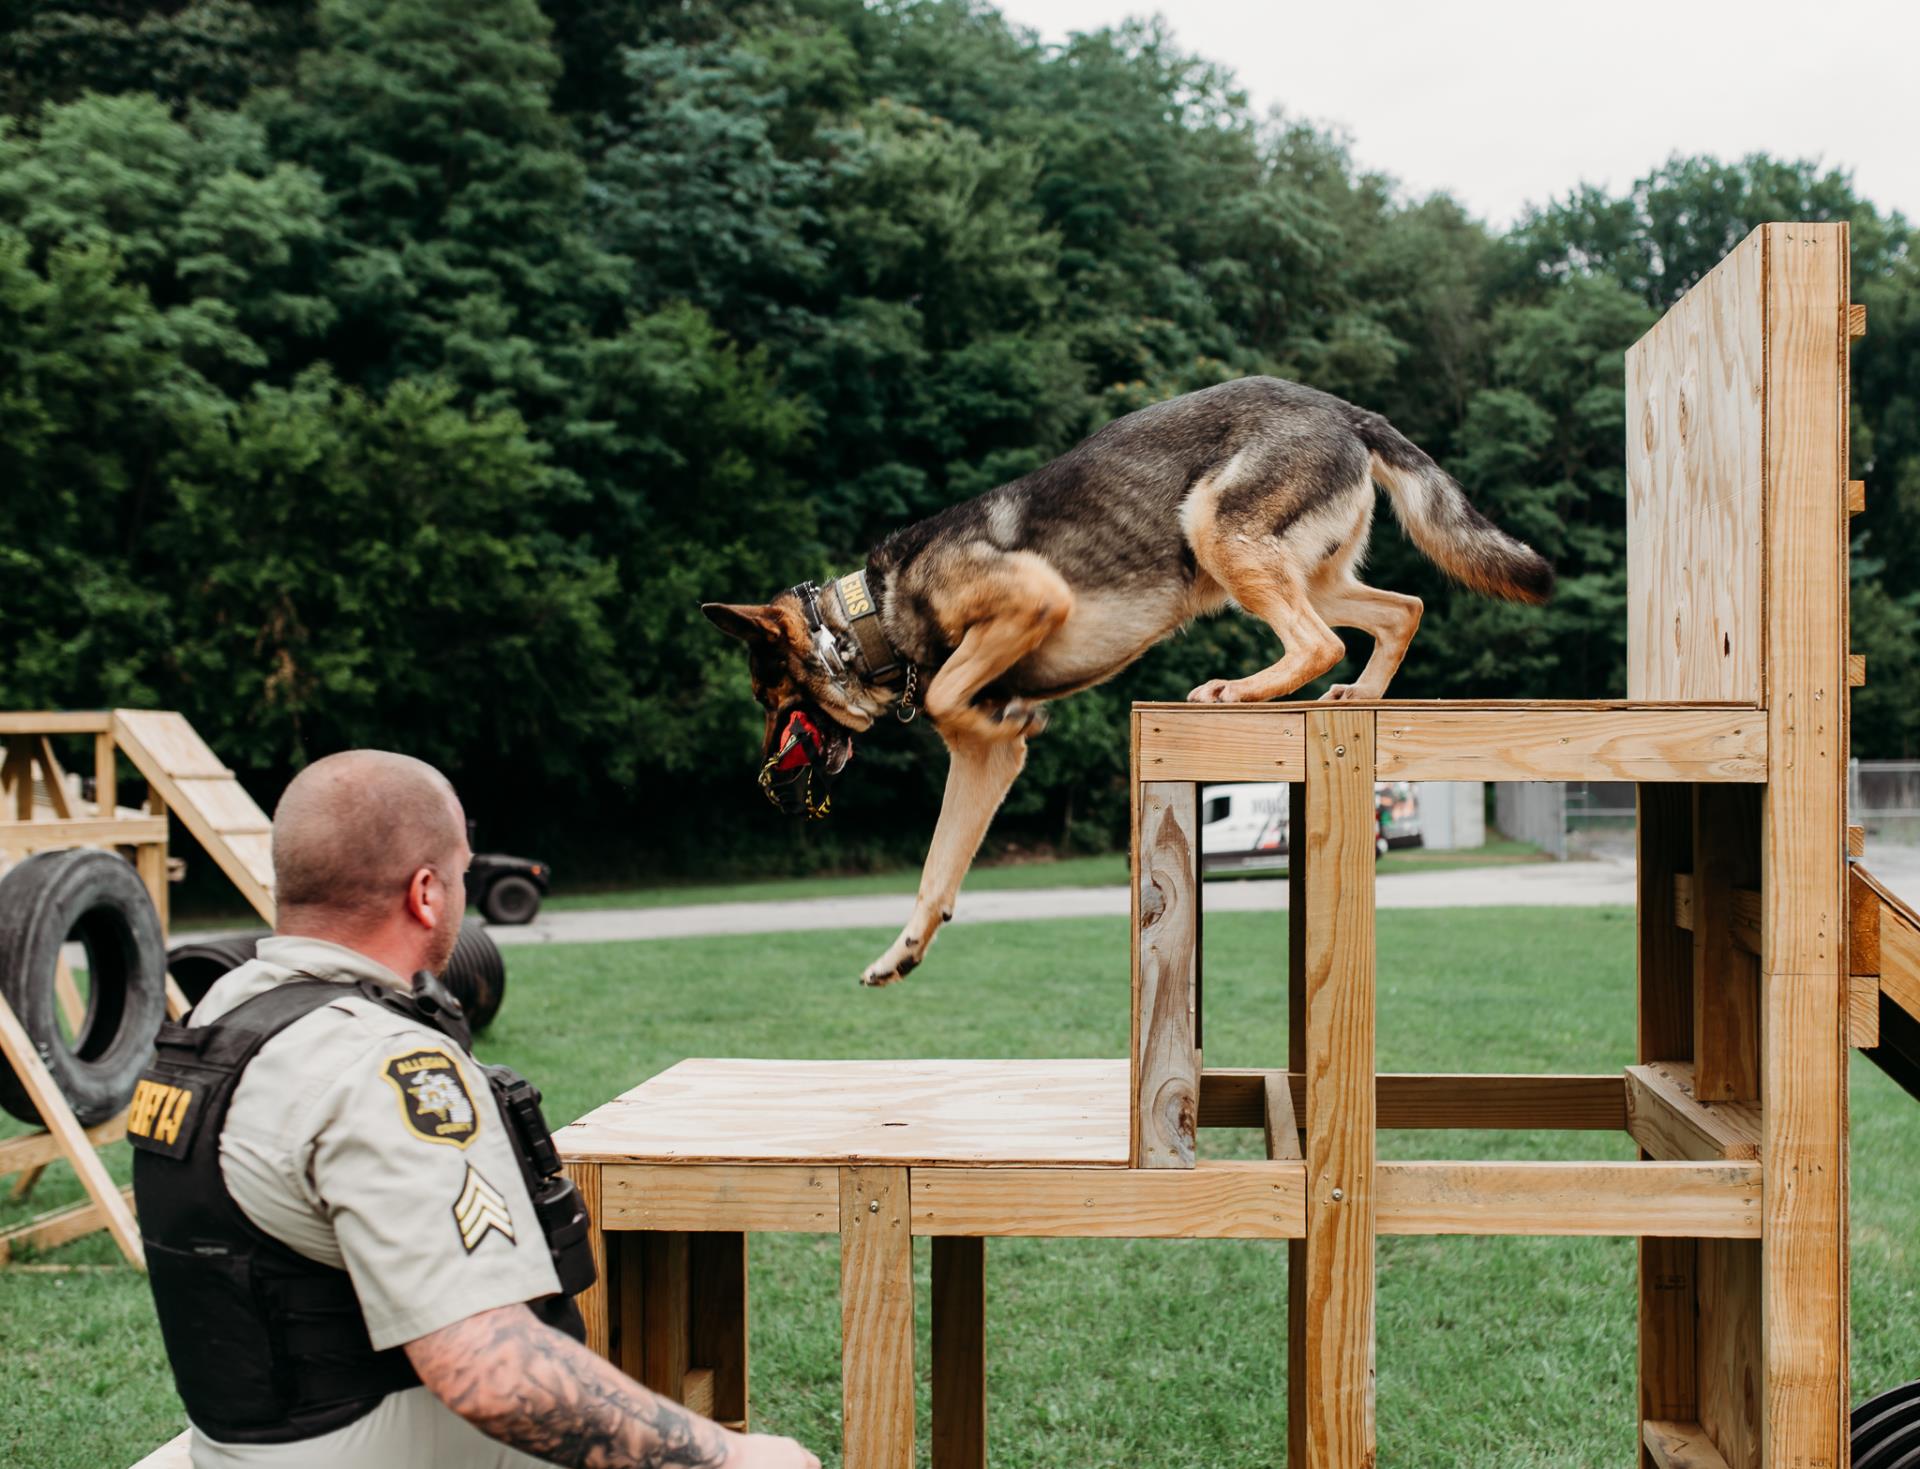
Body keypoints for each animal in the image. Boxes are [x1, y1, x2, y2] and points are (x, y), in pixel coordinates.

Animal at [706, 374, 1543, 983]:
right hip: (1306, 569)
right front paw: (903, 949)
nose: (765, 783)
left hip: (1215, 531)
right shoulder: (985, 765)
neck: (869, 618)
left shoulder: (1034, 599)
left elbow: (948, 696)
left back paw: (1239, 690)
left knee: (1320, 641)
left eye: (767, 699)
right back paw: (1361, 699)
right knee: (1400, 610)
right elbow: (937, 867)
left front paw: (1006, 713)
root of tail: (1344, 408)